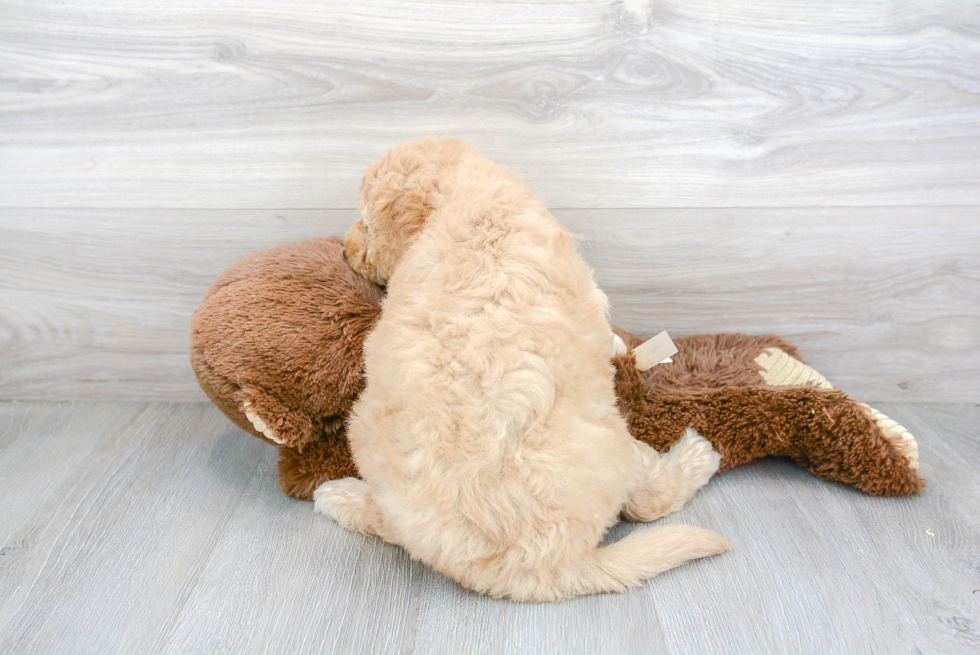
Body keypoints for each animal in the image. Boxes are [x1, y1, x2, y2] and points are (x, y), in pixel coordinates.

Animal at [316, 140, 728, 604]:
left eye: (366, 223)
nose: (345, 251)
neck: (463, 190)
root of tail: (542, 569)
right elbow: (603, 327)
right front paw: (618, 344)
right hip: (614, 443)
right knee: (649, 500)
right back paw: (700, 455)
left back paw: (341, 497)